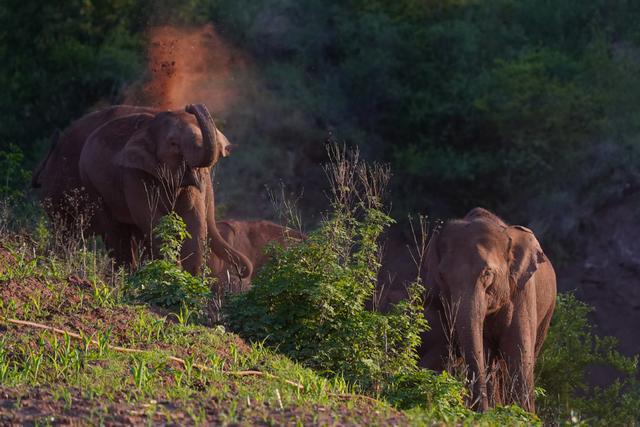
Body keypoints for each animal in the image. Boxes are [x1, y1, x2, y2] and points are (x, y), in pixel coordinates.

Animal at [32, 103, 252, 278]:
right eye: (174, 143)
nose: (190, 105)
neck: (151, 123)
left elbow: (194, 222)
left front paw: (191, 284)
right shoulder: (133, 175)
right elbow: (153, 221)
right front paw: (171, 275)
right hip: (90, 187)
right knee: (107, 232)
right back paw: (124, 276)